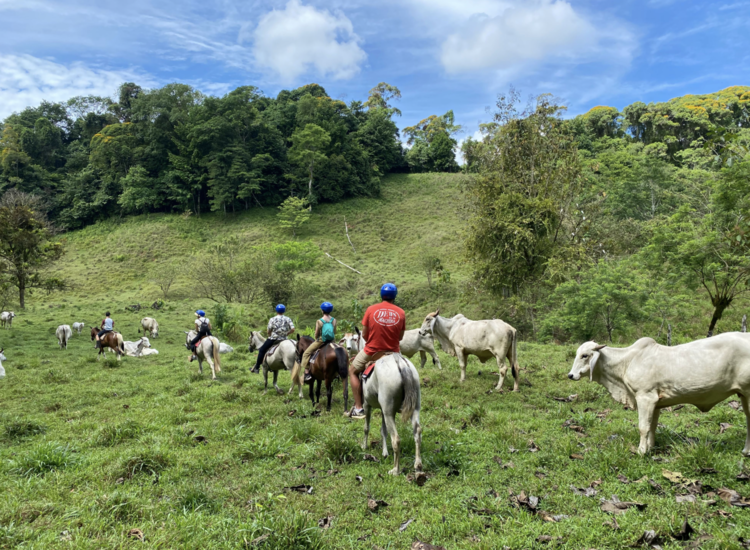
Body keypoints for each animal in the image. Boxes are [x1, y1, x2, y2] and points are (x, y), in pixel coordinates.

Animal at [568, 336, 750, 458]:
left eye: (585, 355)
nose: (570, 375)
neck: (627, 362)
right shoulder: (656, 402)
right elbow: (652, 426)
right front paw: (650, 448)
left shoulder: (645, 397)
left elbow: (643, 427)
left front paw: (641, 452)